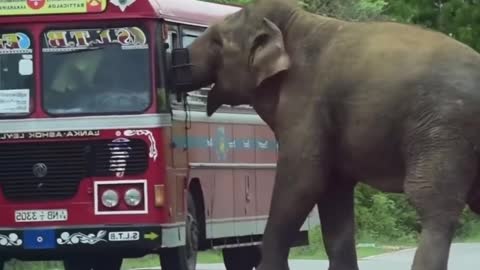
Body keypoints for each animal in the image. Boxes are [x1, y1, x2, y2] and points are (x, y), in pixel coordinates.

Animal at [170, 0, 480, 270]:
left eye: (216, 42)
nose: (173, 59)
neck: (296, 23)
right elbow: (333, 192)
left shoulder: (307, 103)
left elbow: (303, 180)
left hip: (442, 129)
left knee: (432, 205)